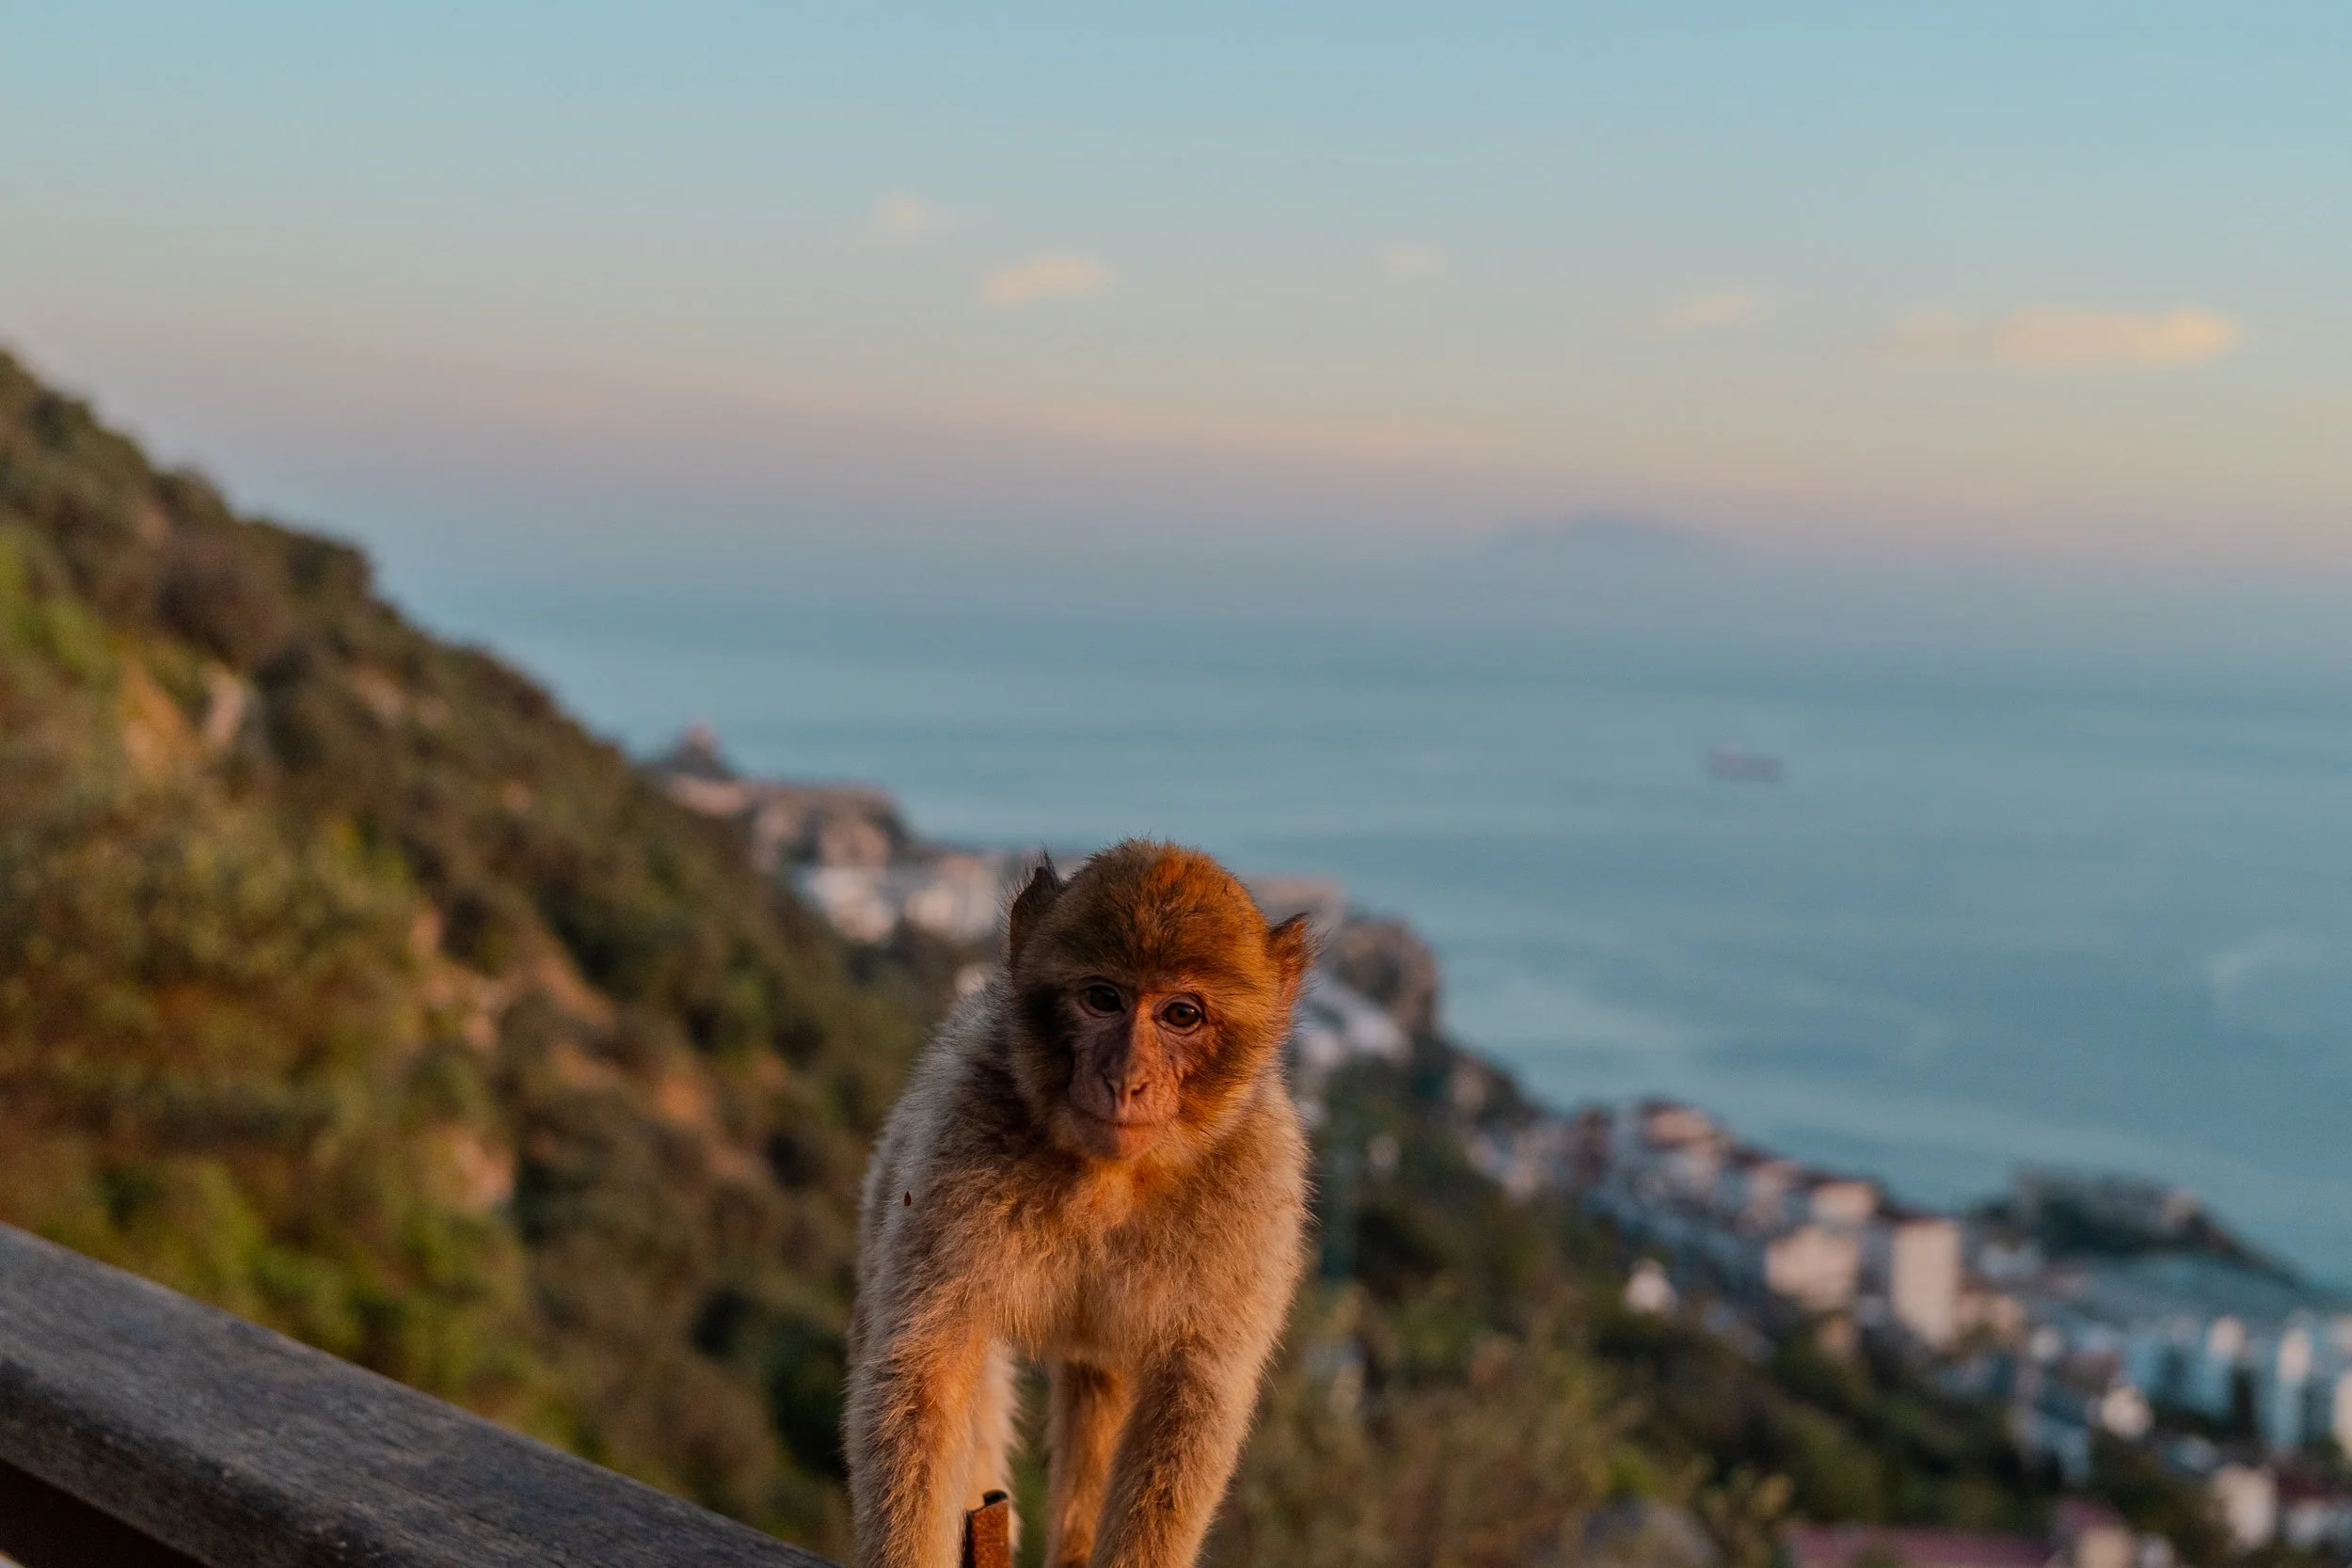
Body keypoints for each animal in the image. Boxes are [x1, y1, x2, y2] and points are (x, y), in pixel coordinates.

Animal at [844, 840, 1313, 1568]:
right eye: (1102, 999)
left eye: (1182, 1014)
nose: (1126, 1079)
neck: (1110, 1179)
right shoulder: (959, 1125)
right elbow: (925, 1377)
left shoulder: (1258, 1183)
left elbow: (1190, 1407)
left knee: (1102, 1385)